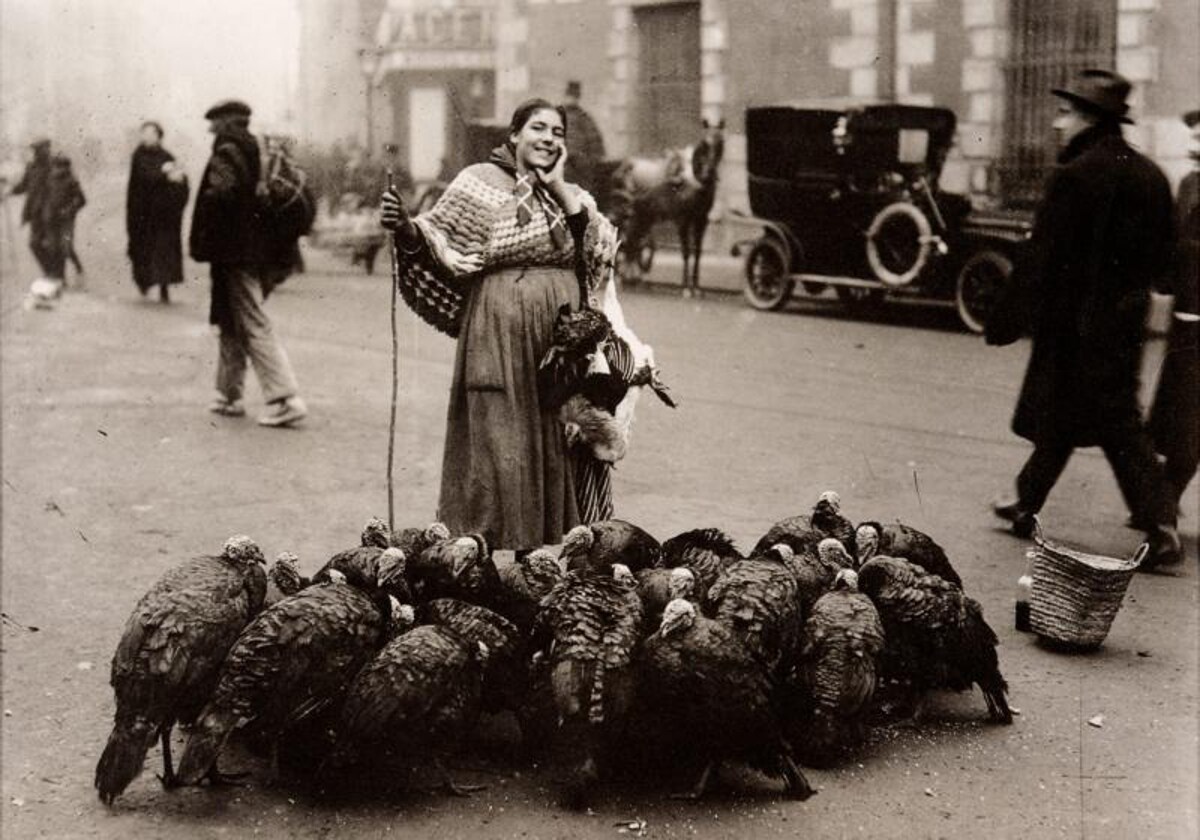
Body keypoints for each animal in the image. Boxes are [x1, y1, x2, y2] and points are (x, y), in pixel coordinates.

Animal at [609, 120, 720, 296]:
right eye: (704, 144)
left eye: (720, 143)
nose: (709, 172)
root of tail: (625, 164)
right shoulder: (683, 220)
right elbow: (686, 252)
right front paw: (685, 288)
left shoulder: (701, 220)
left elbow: (697, 253)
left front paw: (696, 287)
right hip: (630, 214)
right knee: (627, 240)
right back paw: (624, 278)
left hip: (644, 216)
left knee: (634, 243)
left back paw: (633, 278)